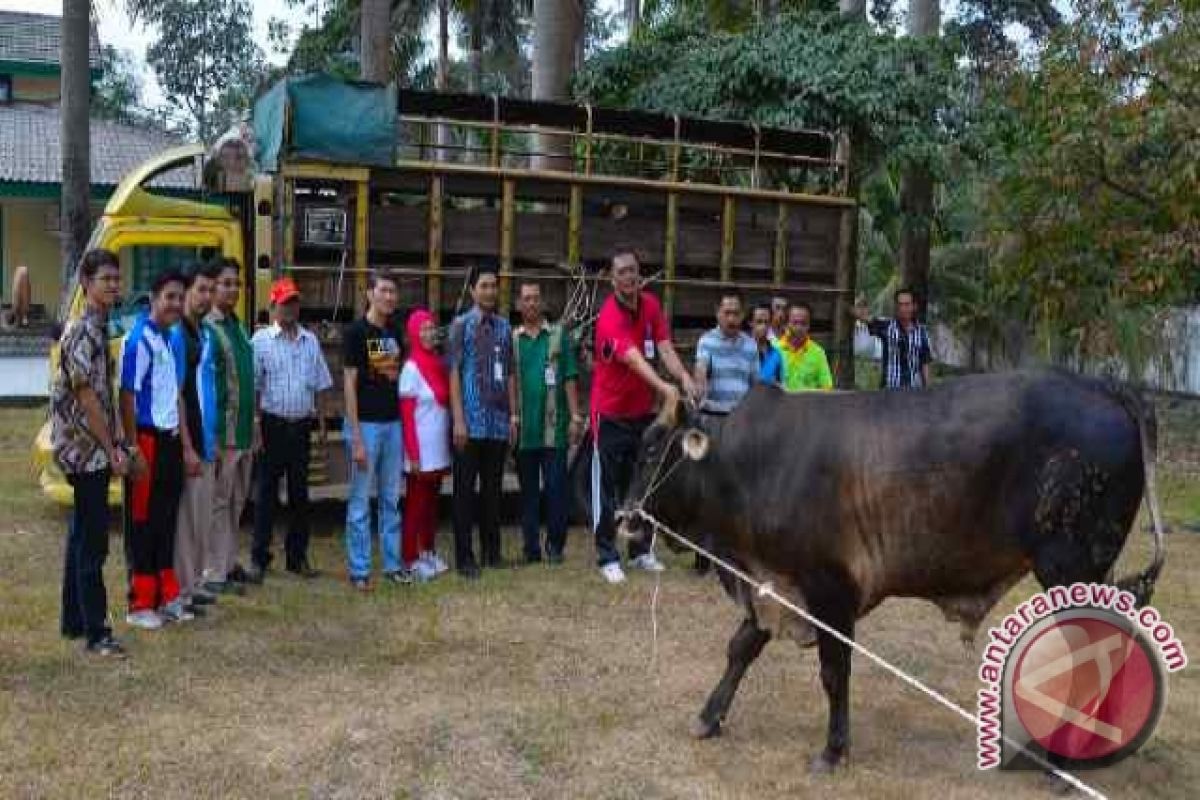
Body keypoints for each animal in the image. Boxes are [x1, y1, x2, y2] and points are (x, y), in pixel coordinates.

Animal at [590, 371, 1161, 777]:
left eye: (650, 449)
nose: (622, 520)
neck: (748, 466)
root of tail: (1107, 389)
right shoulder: (776, 586)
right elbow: (741, 648)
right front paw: (709, 716)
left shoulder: (828, 592)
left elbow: (833, 672)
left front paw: (833, 751)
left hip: (1069, 568)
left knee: (1095, 655)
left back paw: (1064, 758)